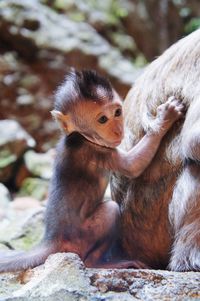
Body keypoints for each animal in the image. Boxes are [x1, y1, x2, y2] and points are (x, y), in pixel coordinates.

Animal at [0, 69, 185, 270]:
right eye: (102, 119)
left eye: (117, 112)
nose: (118, 130)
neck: (81, 136)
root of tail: (51, 240)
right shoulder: (96, 151)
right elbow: (132, 166)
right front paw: (164, 119)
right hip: (82, 236)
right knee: (111, 210)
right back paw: (102, 263)